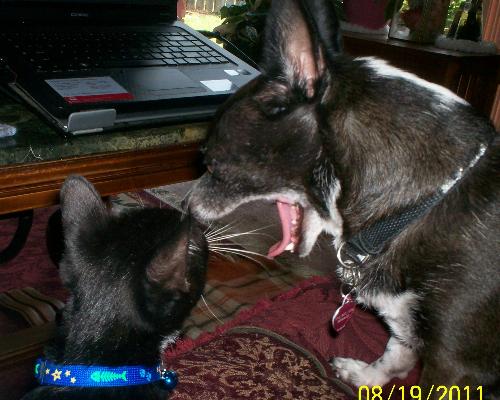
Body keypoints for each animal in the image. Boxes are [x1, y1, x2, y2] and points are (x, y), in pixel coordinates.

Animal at [188, 0, 500, 390]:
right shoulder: (407, 324)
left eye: (211, 163)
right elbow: (395, 351)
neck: (421, 203)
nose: (186, 208)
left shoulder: (453, 365)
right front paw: (366, 377)